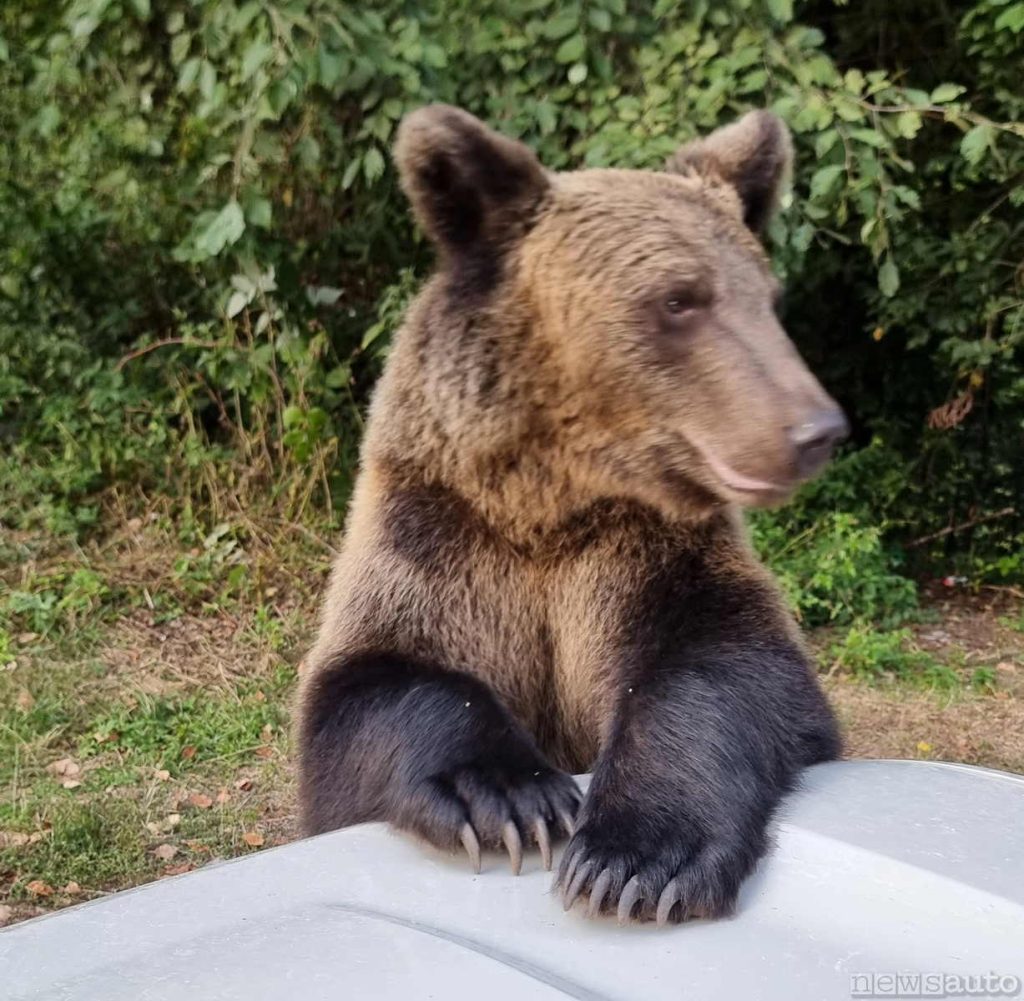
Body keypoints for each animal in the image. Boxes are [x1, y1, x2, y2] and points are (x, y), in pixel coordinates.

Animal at [299, 105, 847, 925]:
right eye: (678, 298)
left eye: (768, 299)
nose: (815, 430)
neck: (551, 508)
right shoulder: (439, 535)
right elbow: (369, 685)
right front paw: (510, 800)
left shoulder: (652, 551)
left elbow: (730, 667)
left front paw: (635, 857)